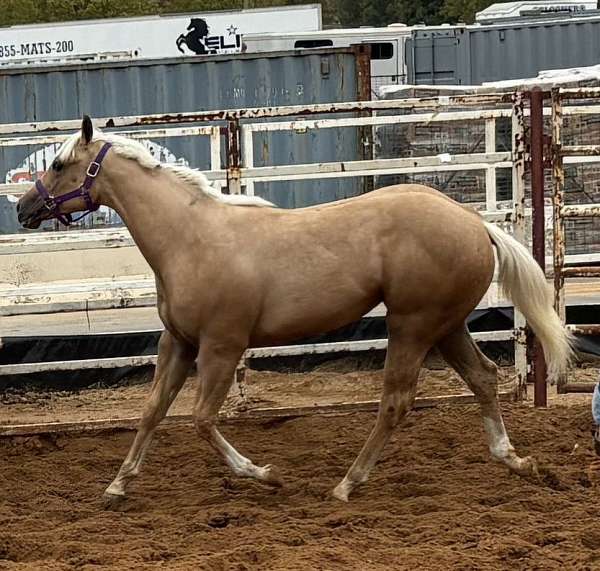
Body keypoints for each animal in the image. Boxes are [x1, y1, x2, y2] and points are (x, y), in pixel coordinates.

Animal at [17, 117, 572, 504]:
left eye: (59, 164)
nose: (24, 208)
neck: (187, 239)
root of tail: (475, 224)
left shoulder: (221, 347)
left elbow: (201, 420)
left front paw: (266, 474)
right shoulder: (178, 343)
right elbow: (153, 411)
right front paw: (116, 486)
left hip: (412, 326)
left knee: (396, 402)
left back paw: (347, 484)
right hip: (447, 325)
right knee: (483, 378)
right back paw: (516, 461)